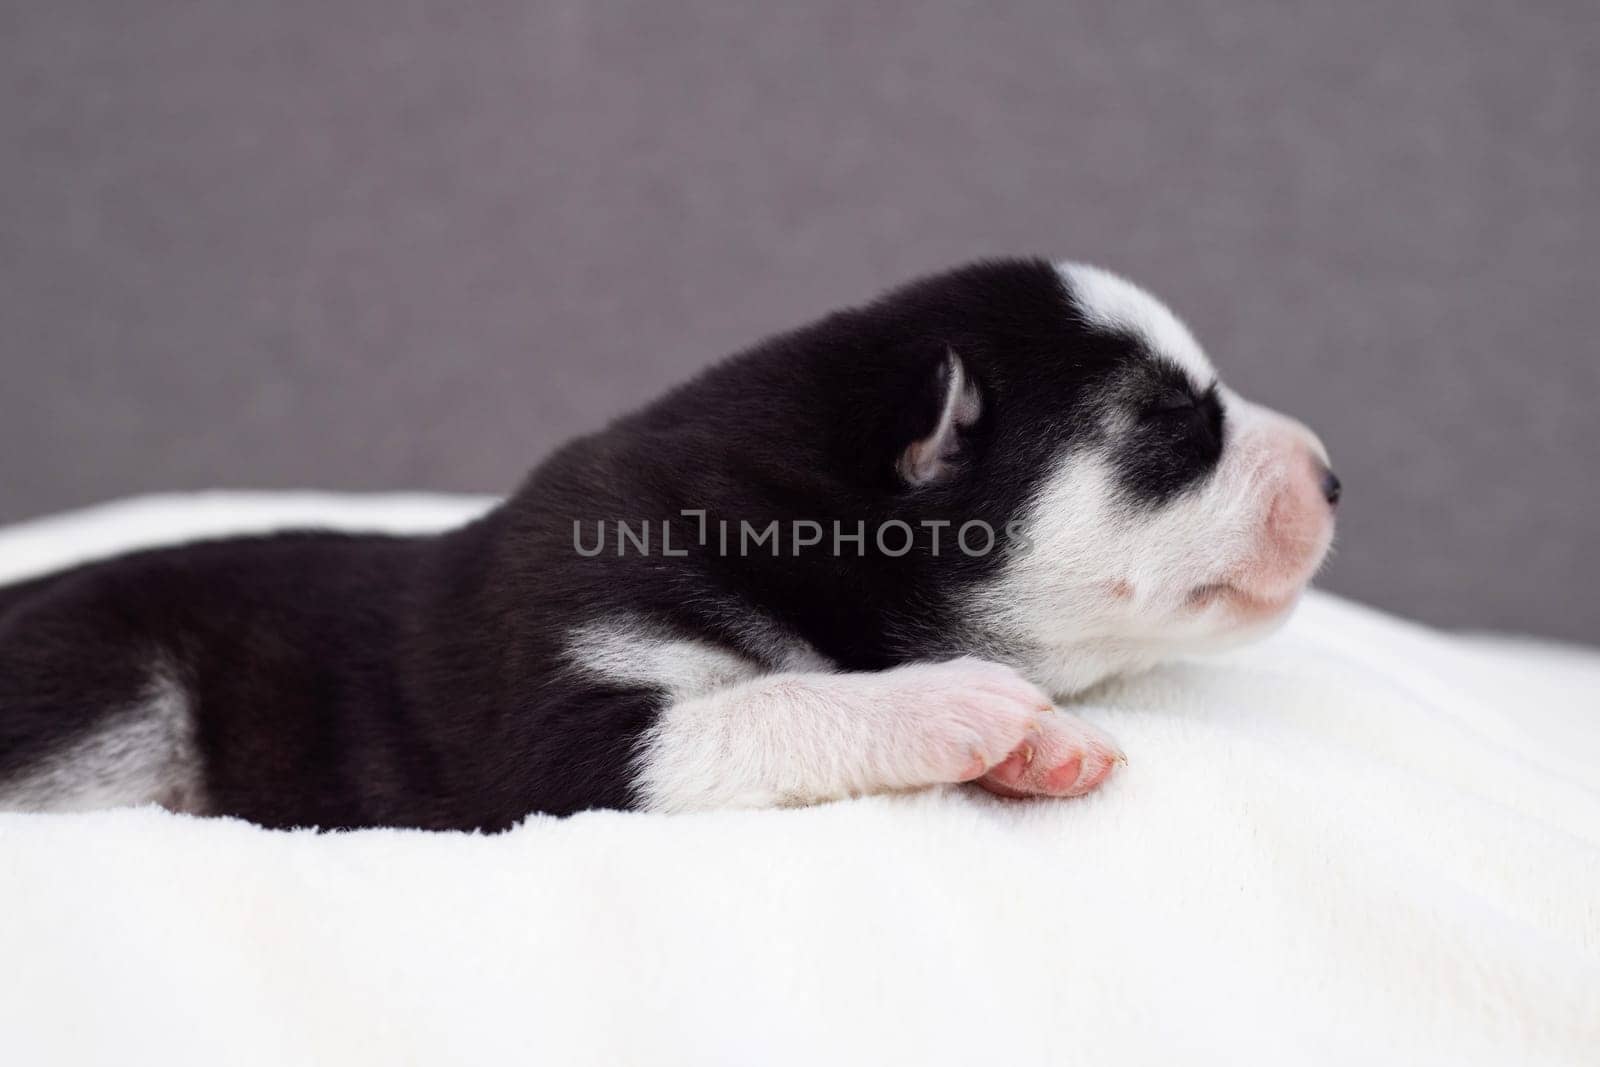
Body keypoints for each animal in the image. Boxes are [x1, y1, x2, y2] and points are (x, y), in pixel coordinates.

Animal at [0, 260, 1337, 831]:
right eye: (1169, 425)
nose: (1333, 476)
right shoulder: (554, 738)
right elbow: (777, 703)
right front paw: (963, 703)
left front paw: (1035, 746)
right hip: (108, 687)